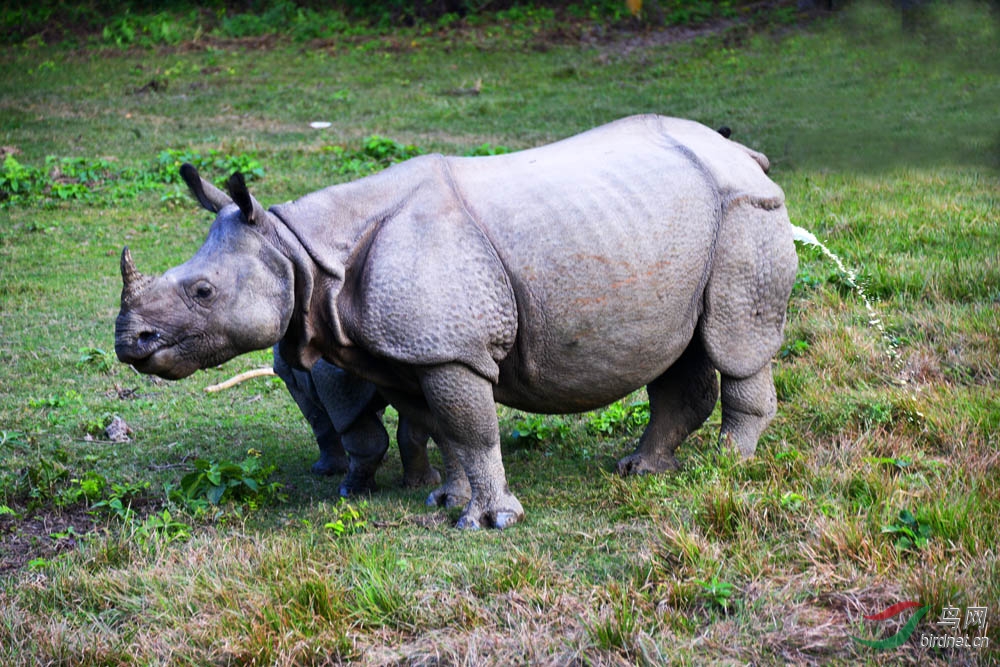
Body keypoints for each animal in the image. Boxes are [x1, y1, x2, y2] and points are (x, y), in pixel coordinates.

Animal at [115, 116, 796, 532]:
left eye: (203, 292)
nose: (130, 343)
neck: (298, 250)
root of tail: (743, 153)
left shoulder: (451, 349)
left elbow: (473, 431)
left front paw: (489, 522)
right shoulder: (407, 351)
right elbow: (440, 429)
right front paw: (445, 501)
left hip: (746, 211)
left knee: (736, 339)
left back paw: (725, 469)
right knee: (680, 350)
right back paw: (642, 470)